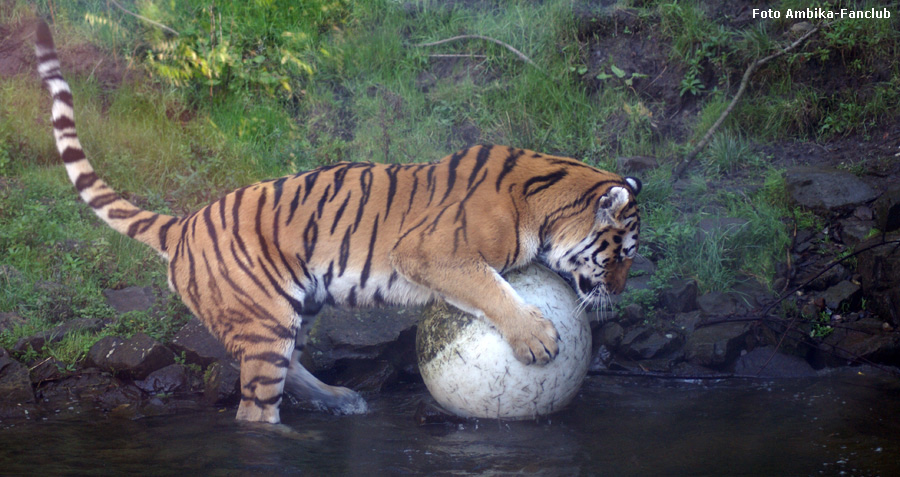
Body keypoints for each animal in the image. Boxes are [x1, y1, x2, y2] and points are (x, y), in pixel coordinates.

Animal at [35, 20, 640, 422]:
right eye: (623, 255)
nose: (618, 294)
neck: (544, 197)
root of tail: (181, 224)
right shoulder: (433, 253)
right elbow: (490, 289)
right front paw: (536, 338)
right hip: (265, 316)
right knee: (255, 410)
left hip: (298, 304)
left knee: (289, 370)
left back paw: (341, 399)